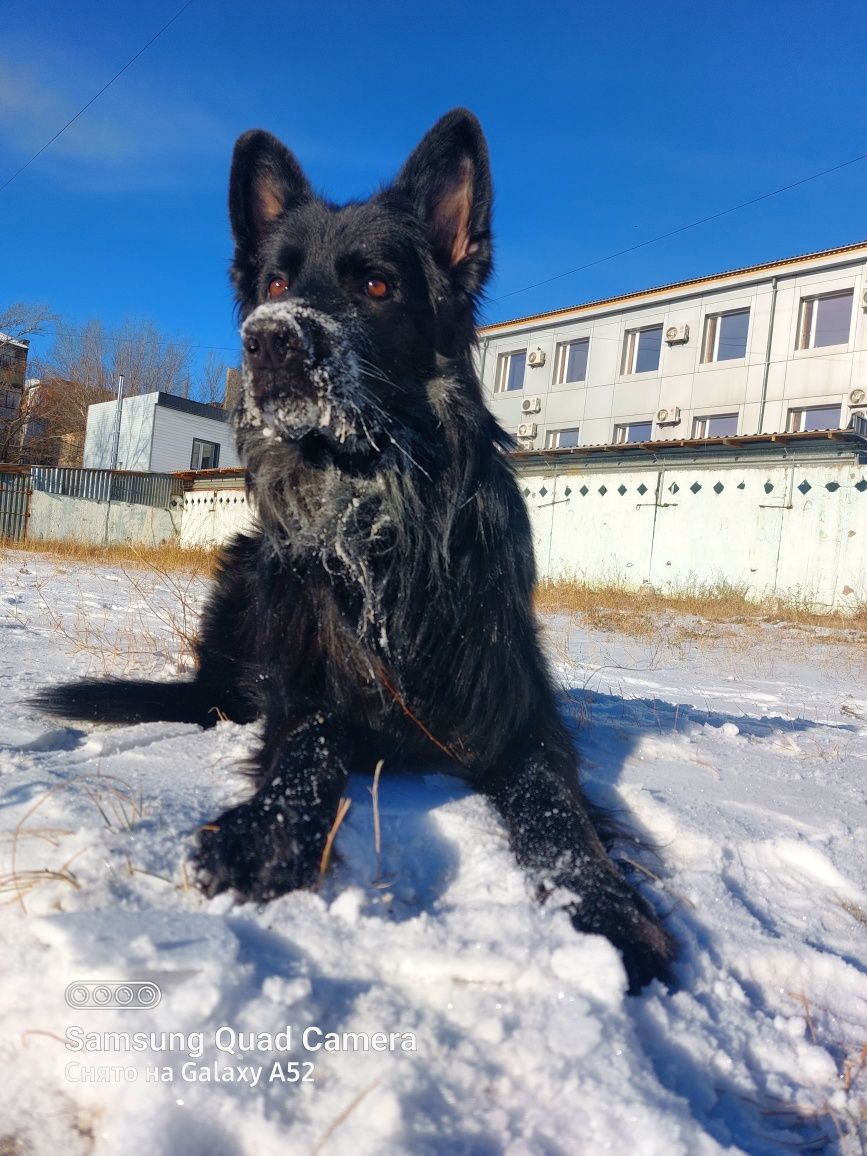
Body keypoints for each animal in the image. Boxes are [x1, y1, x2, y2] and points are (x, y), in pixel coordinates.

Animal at [39, 110, 679, 994]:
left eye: (376, 287)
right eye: (275, 286)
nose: (268, 340)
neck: (371, 509)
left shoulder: (520, 718)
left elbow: (556, 810)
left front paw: (607, 908)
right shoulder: (310, 690)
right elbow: (307, 747)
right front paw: (263, 835)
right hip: (246, 563)